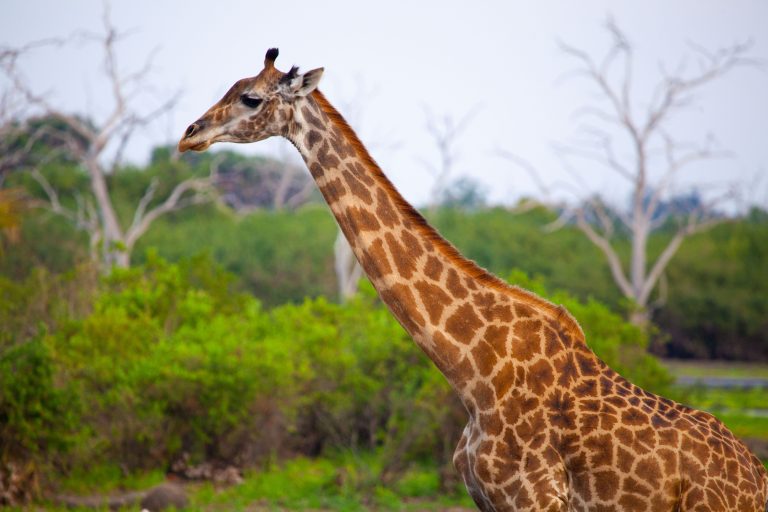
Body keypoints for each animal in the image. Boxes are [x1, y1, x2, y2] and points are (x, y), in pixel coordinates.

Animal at [178, 49, 768, 511]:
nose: (189, 135)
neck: (473, 372)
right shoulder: (487, 499)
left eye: (252, 98)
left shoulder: (537, 501)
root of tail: (756, 478)